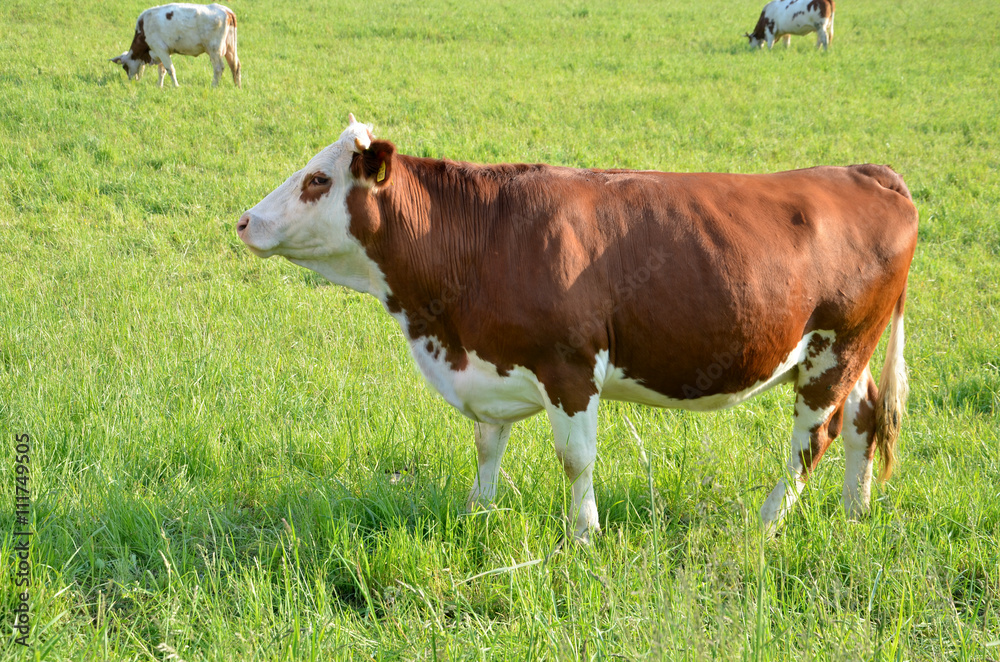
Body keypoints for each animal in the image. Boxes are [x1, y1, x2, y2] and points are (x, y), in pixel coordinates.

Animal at [111, 2, 240, 89]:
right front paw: (159, 86)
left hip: (214, 49)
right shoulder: (163, 52)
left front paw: (176, 86)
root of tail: (226, 10)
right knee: (235, 65)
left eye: (124, 67)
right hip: (230, 47)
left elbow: (170, 69)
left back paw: (213, 86)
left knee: (219, 68)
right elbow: (162, 70)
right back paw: (237, 87)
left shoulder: (160, 49)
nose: (131, 81)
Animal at [236, 114, 916, 544]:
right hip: (842, 355)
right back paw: (856, 512)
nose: (244, 221)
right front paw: (477, 513)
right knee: (864, 418)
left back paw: (767, 524)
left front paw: (583, 536)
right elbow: (487, 445)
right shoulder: (491, 365)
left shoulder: (569, 366)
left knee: (813, 438)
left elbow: (575, 458)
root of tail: (865, 171)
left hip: (836, 348)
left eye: (318, 179)